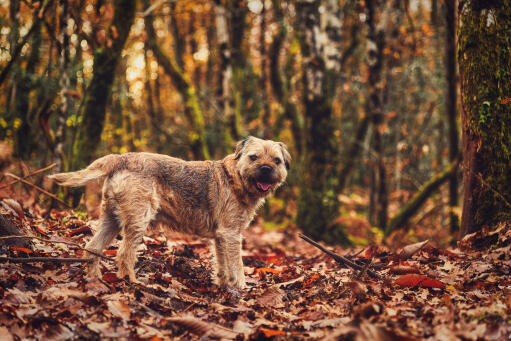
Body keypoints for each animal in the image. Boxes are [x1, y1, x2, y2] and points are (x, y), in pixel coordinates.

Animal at [49, 137, 290, 288]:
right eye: (254, 157)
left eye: (276, 161)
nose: (266, 169)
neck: (236, 178)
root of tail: (121, 158)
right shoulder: (231, 234)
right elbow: (237, 264)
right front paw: (241, 289)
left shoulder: (221, 237)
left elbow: (222, 264)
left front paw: (224, 286)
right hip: (138, 219)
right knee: (124, 254)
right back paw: (132, 282)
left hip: (111, 219)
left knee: (92, 248)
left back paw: (94, 279)